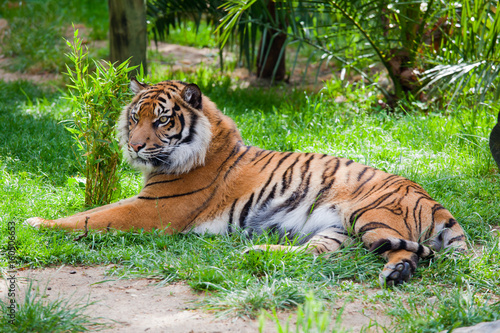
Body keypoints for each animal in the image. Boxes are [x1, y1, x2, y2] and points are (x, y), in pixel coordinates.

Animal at [26, 78, 464, 286]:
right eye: (135, 117)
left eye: (163, 120)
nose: (133, 146)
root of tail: (430, 197)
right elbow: (90, 210)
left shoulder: (153, 209)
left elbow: (91, 216)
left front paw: (34, 223)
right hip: (337, 230)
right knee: (323, 254)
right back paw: (255, 254)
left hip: (368, 214)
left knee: (401, 251)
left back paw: (395, 274)